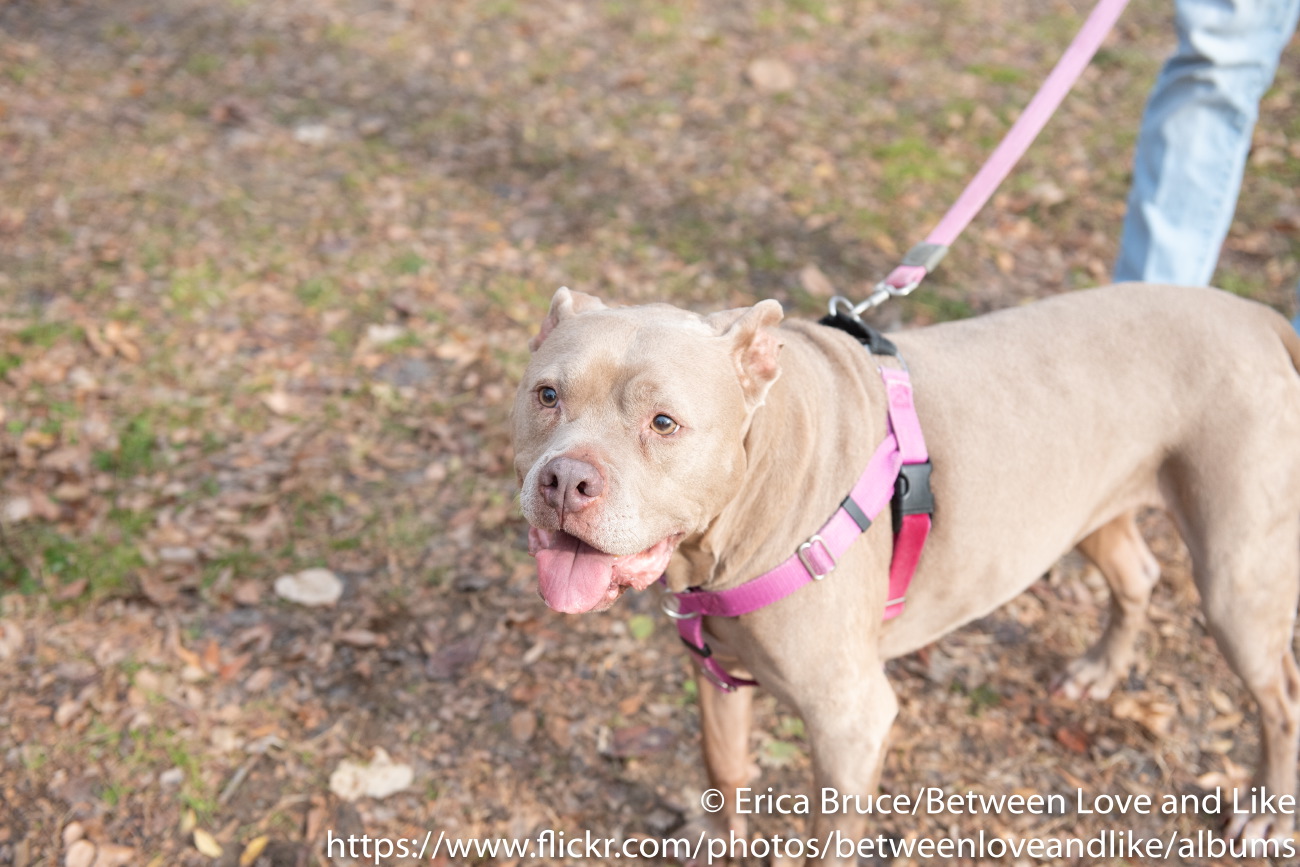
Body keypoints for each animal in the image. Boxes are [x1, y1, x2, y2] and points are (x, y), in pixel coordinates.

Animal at [511, 283, 1300, 864]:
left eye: (664, 422)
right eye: (547, 395)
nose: (565, 482)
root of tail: (1258, 316)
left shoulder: (850, 720)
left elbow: (828, 842)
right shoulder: (716, 673)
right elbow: (723, 764)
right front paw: (717, 838)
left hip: (1236, 579)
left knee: (1281, 697)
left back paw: (1265, 813)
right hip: (1090, 509)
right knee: (1136, 573)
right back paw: (1100, 671)